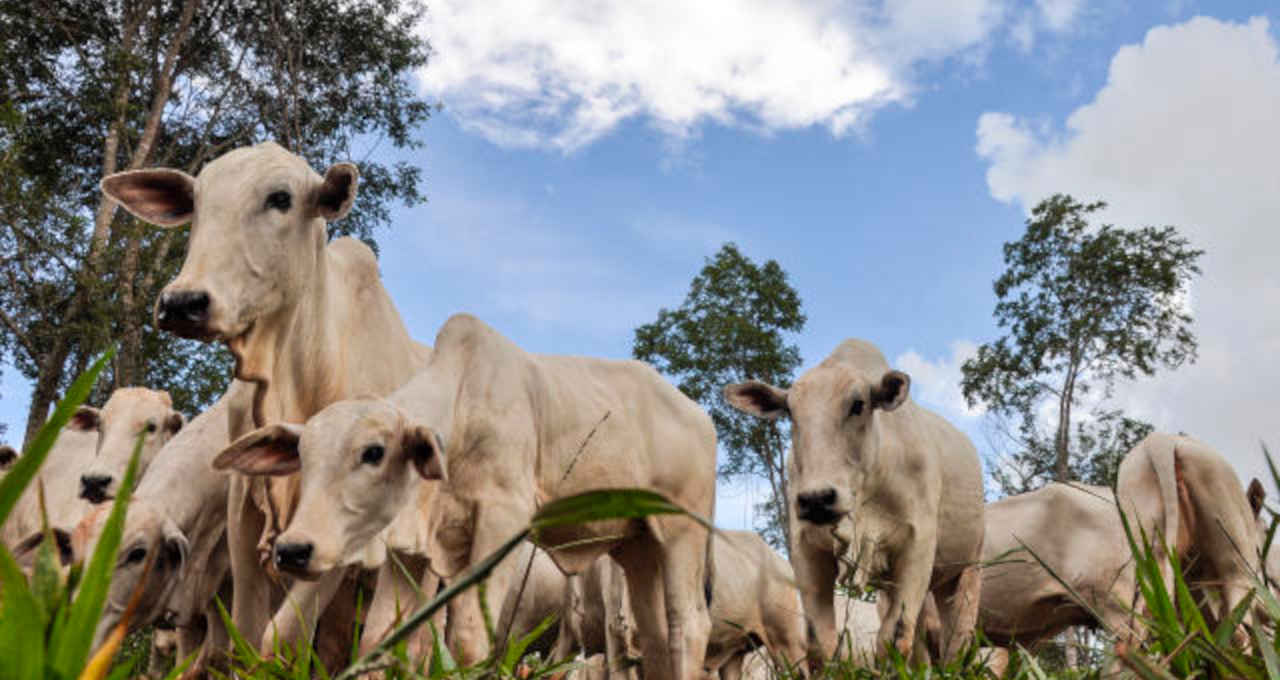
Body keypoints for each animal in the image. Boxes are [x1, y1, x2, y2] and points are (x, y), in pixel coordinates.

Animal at [99, 142, 430, 660]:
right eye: (197, 201)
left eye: (281, 198)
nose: (182, 303)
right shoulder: (244, 511)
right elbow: (246, 635)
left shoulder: (343, 531)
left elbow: (282, 637)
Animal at [216, 315, 727, 680]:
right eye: (302, 456)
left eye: (374, 452)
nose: (293, 549)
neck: (462, 410)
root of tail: (699, 415)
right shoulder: (415, 546)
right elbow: (381, 638)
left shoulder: (505, 520)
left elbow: (467, 636)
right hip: (636, 546)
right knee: (656, 636)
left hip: (681, 530)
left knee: (688, 625)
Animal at [727, 338, 983, 665]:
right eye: (790, 412)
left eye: (858, 405)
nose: (817, 500)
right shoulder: (807, 550)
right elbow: (821, 642)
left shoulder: (918, 547)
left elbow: (895, 638)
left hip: (967, 569)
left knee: (957, 640)